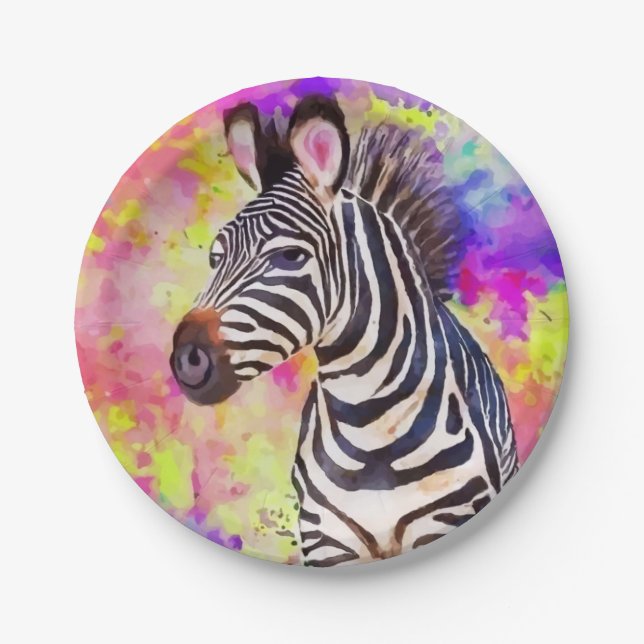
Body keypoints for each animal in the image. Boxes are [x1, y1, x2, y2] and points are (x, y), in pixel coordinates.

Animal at [170, 95, 518, 566]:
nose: (186, 358)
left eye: (291, 256)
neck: (367, 422)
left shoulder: (448, 516)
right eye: (215, 256)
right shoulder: (327, 538)